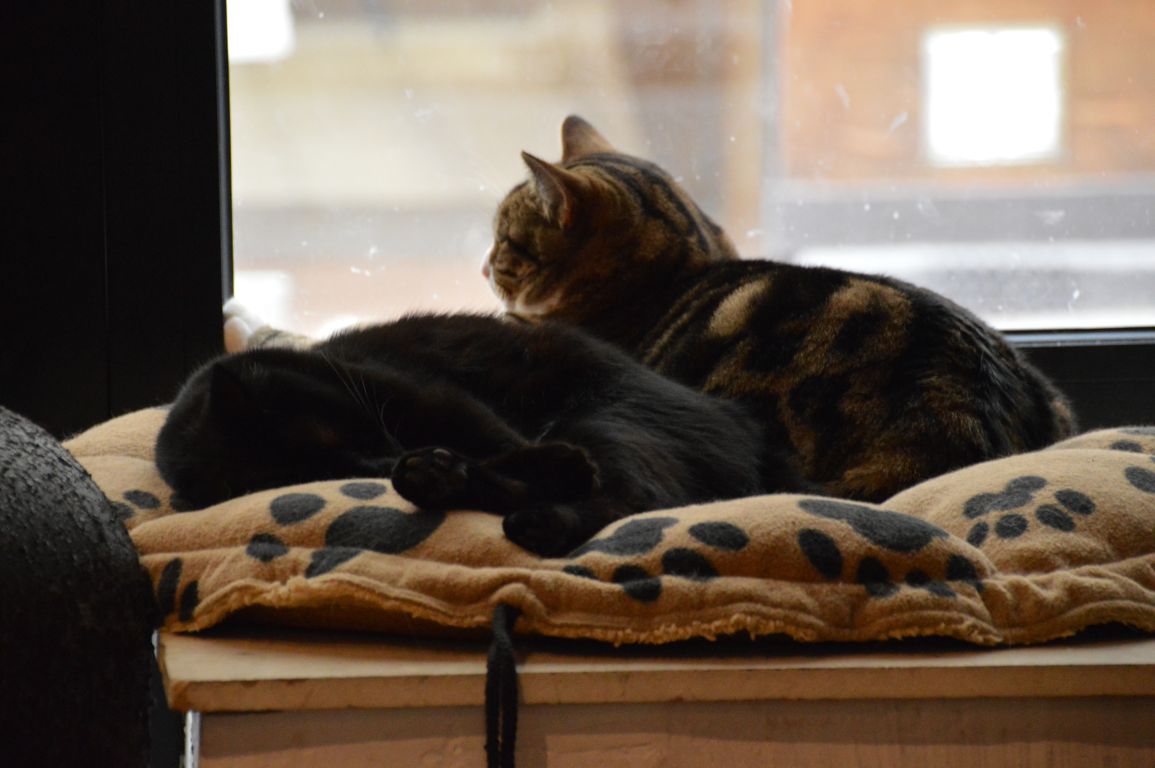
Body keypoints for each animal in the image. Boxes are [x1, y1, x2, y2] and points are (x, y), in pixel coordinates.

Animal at [156, 312, 805, 557]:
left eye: (342, 432)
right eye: (330, 470)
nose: (381, 458)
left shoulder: (432, 396)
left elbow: (502, 440)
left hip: (606, 415)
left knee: (632, 496)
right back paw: (440, 481)